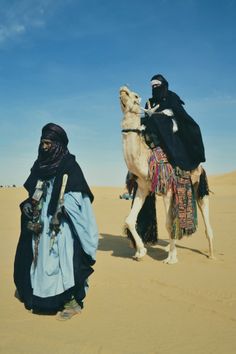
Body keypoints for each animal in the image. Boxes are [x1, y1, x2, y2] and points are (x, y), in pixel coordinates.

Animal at [120, 85, 214, 262]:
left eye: (135, 95)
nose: (123, 89)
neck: (146, 158)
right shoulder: (143, 187)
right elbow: (129, 220)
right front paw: (140, 251)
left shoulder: (167, 190)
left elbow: (169, 223)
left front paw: (171, 258)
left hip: (198, 184)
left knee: (205, 212)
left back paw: (211, 254)